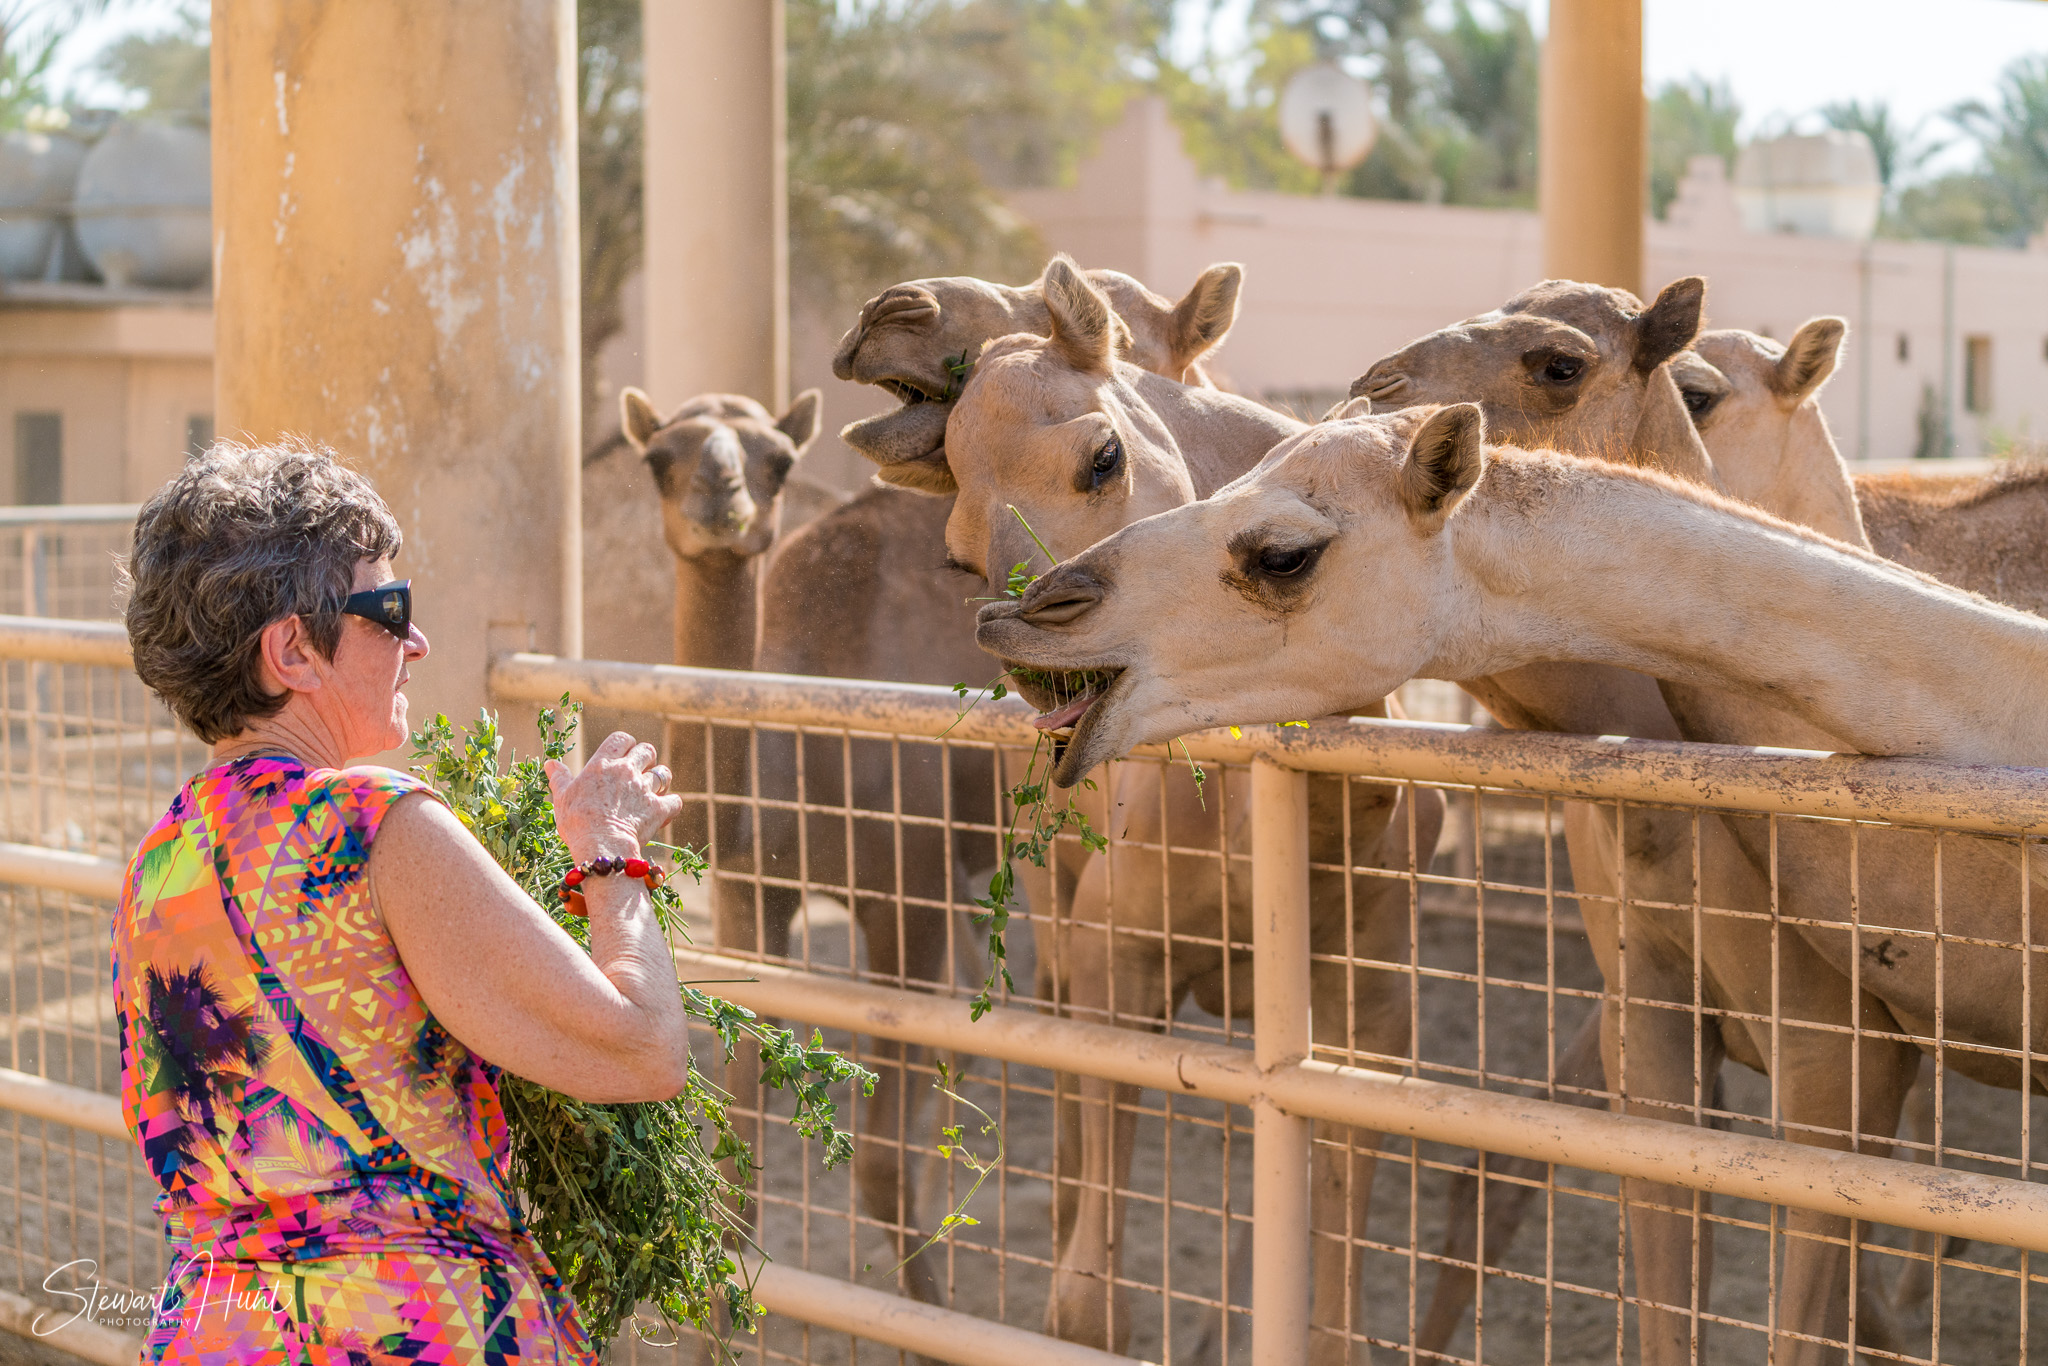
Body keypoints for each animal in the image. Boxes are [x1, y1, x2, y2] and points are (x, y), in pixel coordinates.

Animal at [929, 256, 1444, 1363]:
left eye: (1102, 457)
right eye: (953, 553)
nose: (1040, 654)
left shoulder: (1373, 1005)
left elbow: (1330, 1308)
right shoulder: (1113, 962)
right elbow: (1088, 1306)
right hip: (1058, 922)